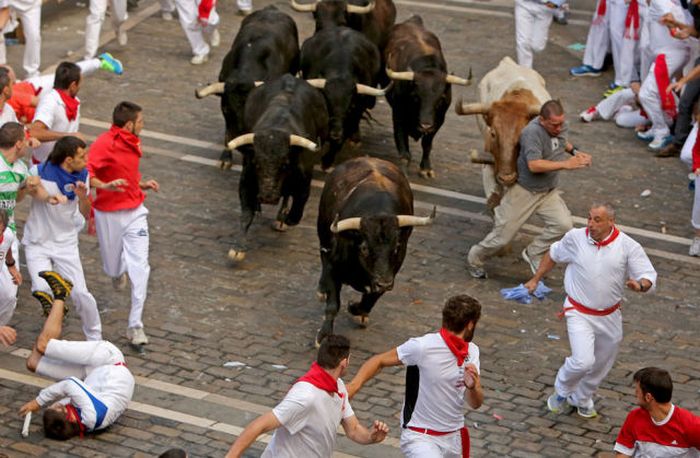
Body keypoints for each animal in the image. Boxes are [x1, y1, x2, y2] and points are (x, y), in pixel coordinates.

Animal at [193, 5, 300, 169]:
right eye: (226, 109)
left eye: (251, 110)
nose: (241, 143)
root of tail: (273, 9)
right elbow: (227, 133)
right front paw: (226, 158)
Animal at [227, 74, 330, 262]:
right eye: (257, 163)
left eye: (285, 164)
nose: (267, 197)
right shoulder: (246, 180)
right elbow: (246, 213)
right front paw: (237, 249)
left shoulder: (304, 181)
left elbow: (298, 207)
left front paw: (286, 218)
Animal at [316, 156, 434, 346]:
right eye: (364, 247)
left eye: (397, 247)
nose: (384, 283)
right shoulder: (334, 267)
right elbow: (333, 305)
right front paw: (324, 335)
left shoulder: (389, 275)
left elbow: (370, 300)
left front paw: (356, 310)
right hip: (323, 232)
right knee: (322, 256)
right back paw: (321, 289)